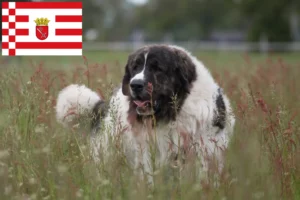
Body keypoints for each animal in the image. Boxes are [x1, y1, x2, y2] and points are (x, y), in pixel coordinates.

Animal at [55, 44, 234, 182]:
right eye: (135, 67)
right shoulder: (148, 153)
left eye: (157, 68)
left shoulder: (205, 151)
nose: (135, 84)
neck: (173, 113)